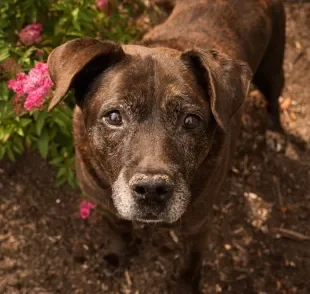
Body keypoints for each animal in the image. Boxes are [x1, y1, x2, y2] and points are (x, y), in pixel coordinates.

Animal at [46, 0, 286, 292]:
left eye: (190, 120)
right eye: (114, 117)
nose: (152, 190)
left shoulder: (197, 227)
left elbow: (190, 266)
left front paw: (185, 287)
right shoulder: (104, 203)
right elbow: (118, 229)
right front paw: (116, 255)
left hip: (272, 66)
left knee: (275, 95)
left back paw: (275, 132)